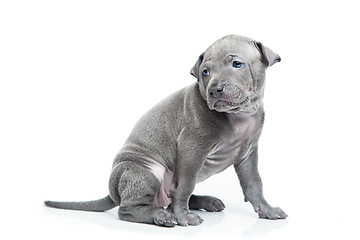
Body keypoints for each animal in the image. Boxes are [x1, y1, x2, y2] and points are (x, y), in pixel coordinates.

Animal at [45, 34, 286, 227]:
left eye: (237, 64)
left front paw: (267, 210)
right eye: (205, 72)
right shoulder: (191, 147)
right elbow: (184, 186)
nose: (215, 90)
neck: (239, 115)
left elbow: (254, 184)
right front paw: (184, 217)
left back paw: (204, 202)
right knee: (129, 209)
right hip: (145, 170)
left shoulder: (248, 153)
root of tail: (114, 191)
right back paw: (160, 216)